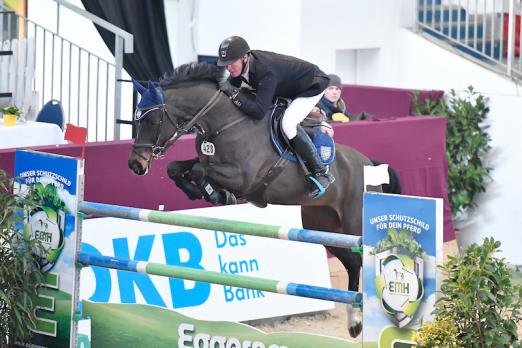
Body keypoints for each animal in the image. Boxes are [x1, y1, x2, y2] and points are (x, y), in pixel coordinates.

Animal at [126, 61, 378, 336]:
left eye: (152, 120)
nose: (135, 165)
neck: (224, 123)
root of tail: (368, 163)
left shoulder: (243, 179)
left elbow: (199, 171)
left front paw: (214, 192)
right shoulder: (209, 161)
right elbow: (177, 168)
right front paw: (206, 192)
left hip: (352, 226)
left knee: (362, 260)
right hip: (323, 227)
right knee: (353, 263)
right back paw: (354, 323)